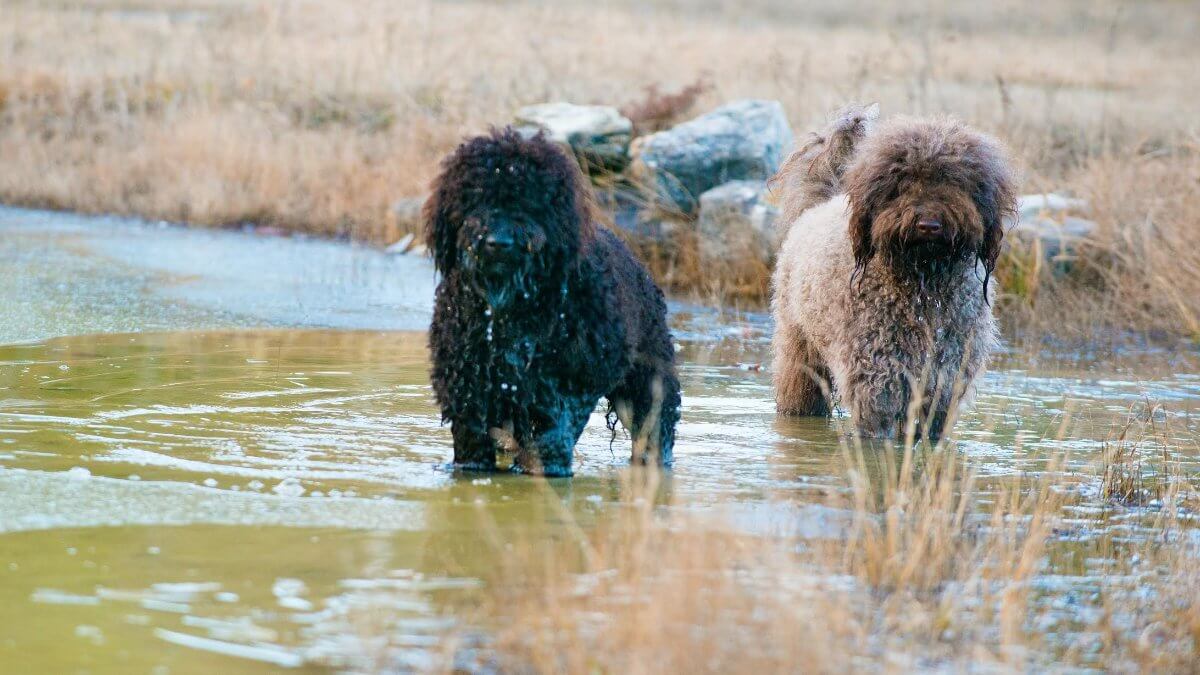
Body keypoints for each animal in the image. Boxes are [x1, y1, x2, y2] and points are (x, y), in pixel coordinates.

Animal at [427, 127, 681, 473]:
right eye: (475, 197)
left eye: (529, 201)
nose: (498, 242)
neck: (511, 308)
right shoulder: (468, 387)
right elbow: (473, 443)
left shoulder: (568, 381)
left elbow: (554, 431)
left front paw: (545, 467)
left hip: (649, 379)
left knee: (656, 425)